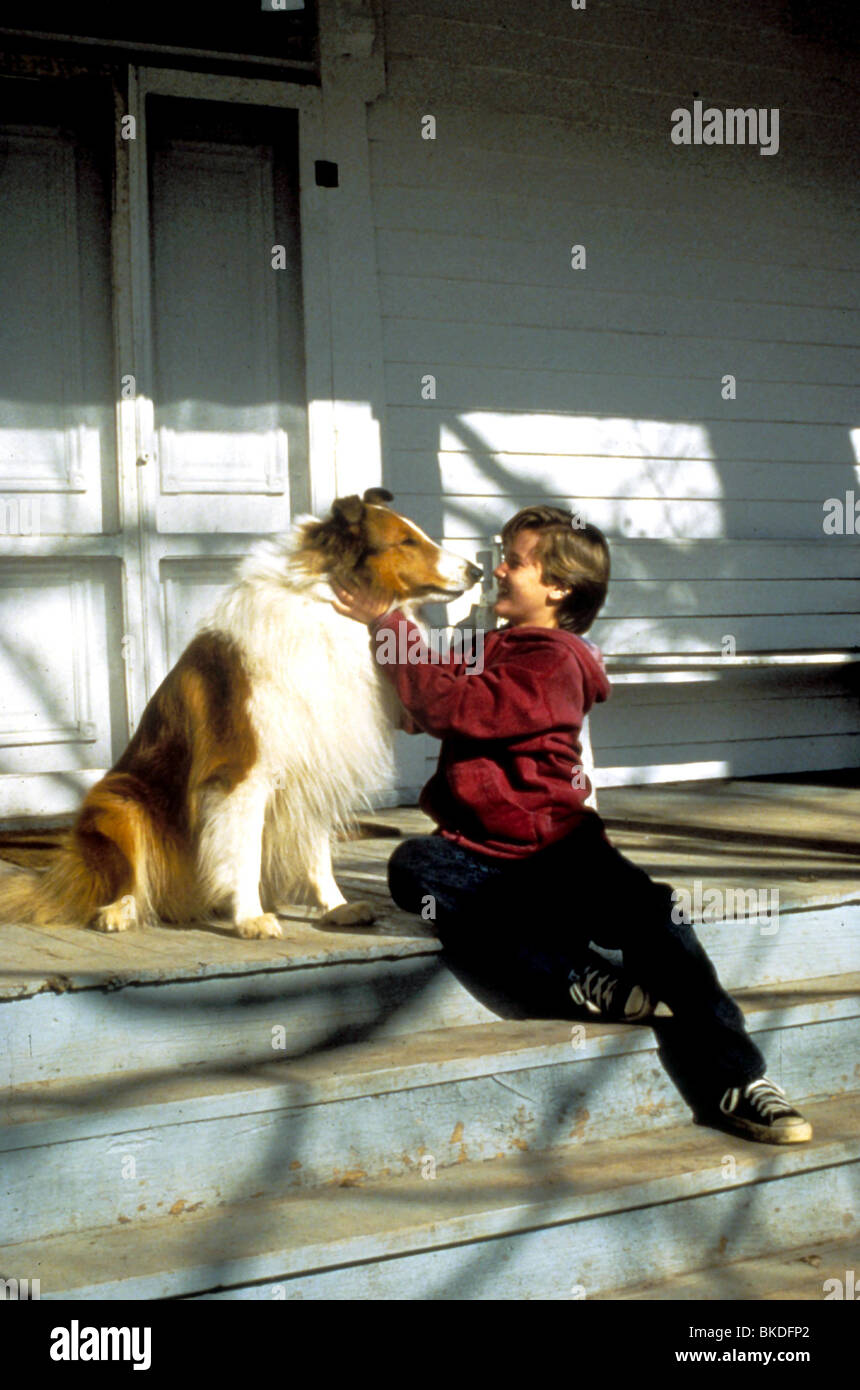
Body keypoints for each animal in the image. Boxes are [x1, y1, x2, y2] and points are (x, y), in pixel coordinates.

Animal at [0, 486, 483, 934]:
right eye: (406, 541)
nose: (476, 570)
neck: (324, 605)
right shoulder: (244, 772)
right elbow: (243, 851)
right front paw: (250, 918)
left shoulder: (314, 763)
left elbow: (316, 852)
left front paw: (336, 906)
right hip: (120, 805)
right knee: (121, 883)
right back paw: (119, 912)